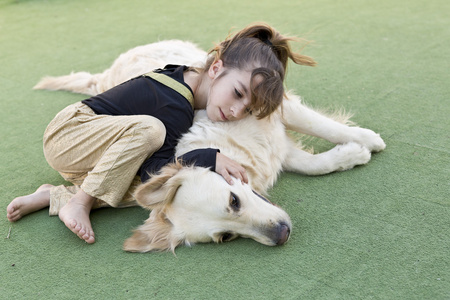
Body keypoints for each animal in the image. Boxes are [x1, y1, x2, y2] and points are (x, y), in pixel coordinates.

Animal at [35, 39, 386, 252]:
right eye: (226, 237)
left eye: (234, 200)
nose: (281, 235)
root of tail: (106, 74)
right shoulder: (274, 149)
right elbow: (313, 164)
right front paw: (352, 153)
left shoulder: (274, 109)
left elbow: (320, 126)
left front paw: (366, 140)